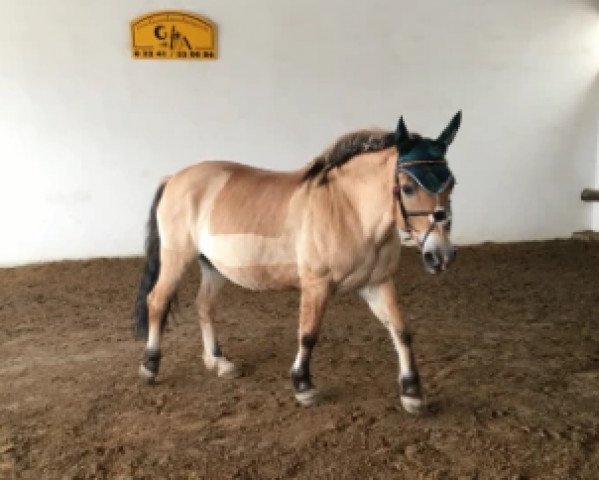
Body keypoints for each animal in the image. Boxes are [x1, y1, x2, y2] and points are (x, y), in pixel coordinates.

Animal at [134, 112, 462, 412]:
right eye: (408, 188)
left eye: (452, 184)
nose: (441, 256)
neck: (349, 210)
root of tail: (174, 178)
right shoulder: (316, 285)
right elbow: (308, 334)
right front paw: (303, 386)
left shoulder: (377, 283)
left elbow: (401, 331)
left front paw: (412, 393)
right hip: (176, 257)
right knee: (157, 302)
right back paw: (150, 367)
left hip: (212, 266)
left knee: (204, 306)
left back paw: (218, 362)